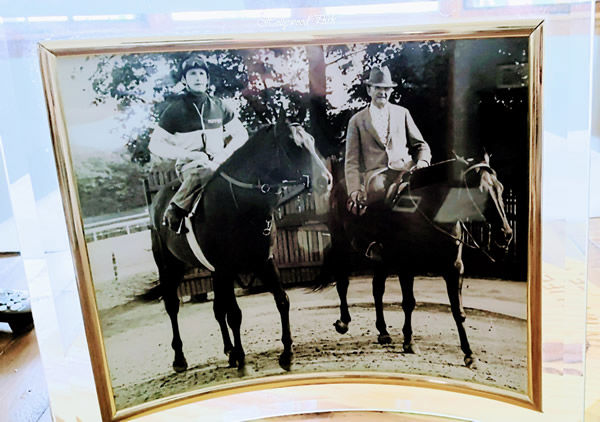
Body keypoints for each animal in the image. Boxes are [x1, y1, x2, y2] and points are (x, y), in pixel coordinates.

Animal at [149, 119, 328, 372]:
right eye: (294, 145)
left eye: (311, 140)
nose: (326, 180)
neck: (239, 206)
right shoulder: (226, 268)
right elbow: (234, 314)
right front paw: (242, 357)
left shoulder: (263, 262)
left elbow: (282, 301)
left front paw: (286, 354)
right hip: (170, 266)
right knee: (173, 306)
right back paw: (180, 359)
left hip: (212, 272)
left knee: (217, 310)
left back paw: (228, 350)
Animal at [316, 157, 512, 368]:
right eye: (481, 191)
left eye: (501, 188)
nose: (506, 234)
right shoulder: (406, 267)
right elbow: (408, 303)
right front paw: (409, 342)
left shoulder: (454, 268)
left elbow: (458, 311)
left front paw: (469, 354)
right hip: (341, 244)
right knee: (343, 283)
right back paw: (343, 322)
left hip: (381, 260)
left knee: (377, 289)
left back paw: (383, 331)